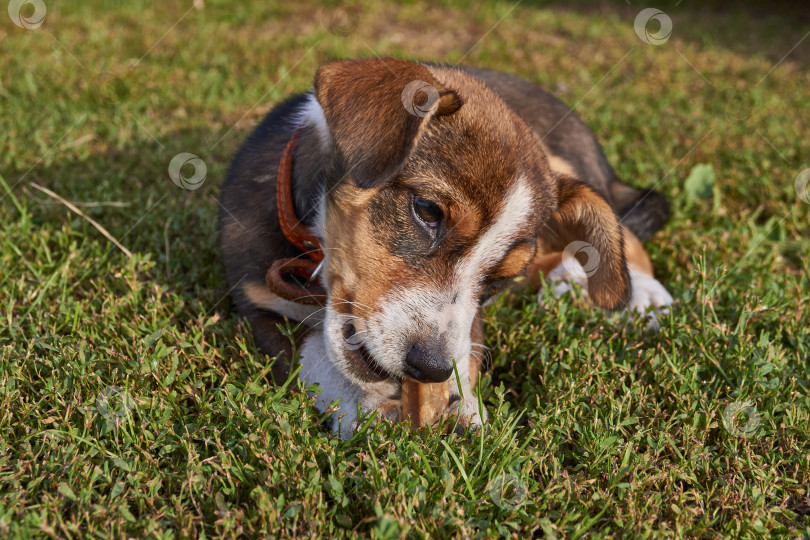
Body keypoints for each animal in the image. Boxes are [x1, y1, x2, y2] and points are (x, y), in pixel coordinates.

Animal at [216, 58, 668, 438]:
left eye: (497, 280)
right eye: (428, 211)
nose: (429, 369)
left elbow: (466, 349)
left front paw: (460, 403)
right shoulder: (256, 305)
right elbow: (311, 356)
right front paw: (363, 402)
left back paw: (640, 291)